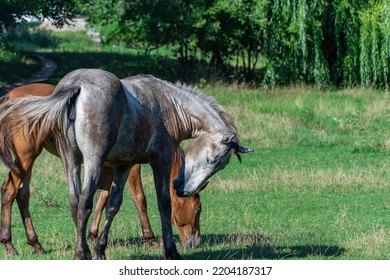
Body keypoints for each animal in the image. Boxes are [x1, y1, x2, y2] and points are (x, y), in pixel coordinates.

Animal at [0, 68, 253, 260]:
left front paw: (99, 247)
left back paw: (50, 246)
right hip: (60, 160)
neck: (170, 105)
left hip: (69, 160)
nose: (194, 243)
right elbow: (157, 203)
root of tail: (77, 86)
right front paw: (167, 249)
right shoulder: (157, 161)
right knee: (33, 194)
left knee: (63, 199)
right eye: (197, 209)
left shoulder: (121, 166)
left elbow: (111, 203)